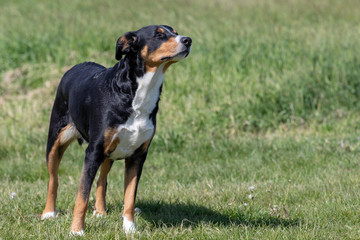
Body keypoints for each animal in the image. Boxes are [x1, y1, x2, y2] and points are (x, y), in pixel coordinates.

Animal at [40, 25, 191, 235]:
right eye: (159, 34)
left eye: (175, 32)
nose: (188, 40)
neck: (138, 94)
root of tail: (76, 66)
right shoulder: (93, 152)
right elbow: (82, 196)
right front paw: (76, 231)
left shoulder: (138, 156)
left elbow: (129, 197)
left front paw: (129, 228)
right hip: (56, 140)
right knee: (53, 179)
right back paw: (48, 213)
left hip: (108, 152)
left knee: (102, 180)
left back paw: (100, 212)